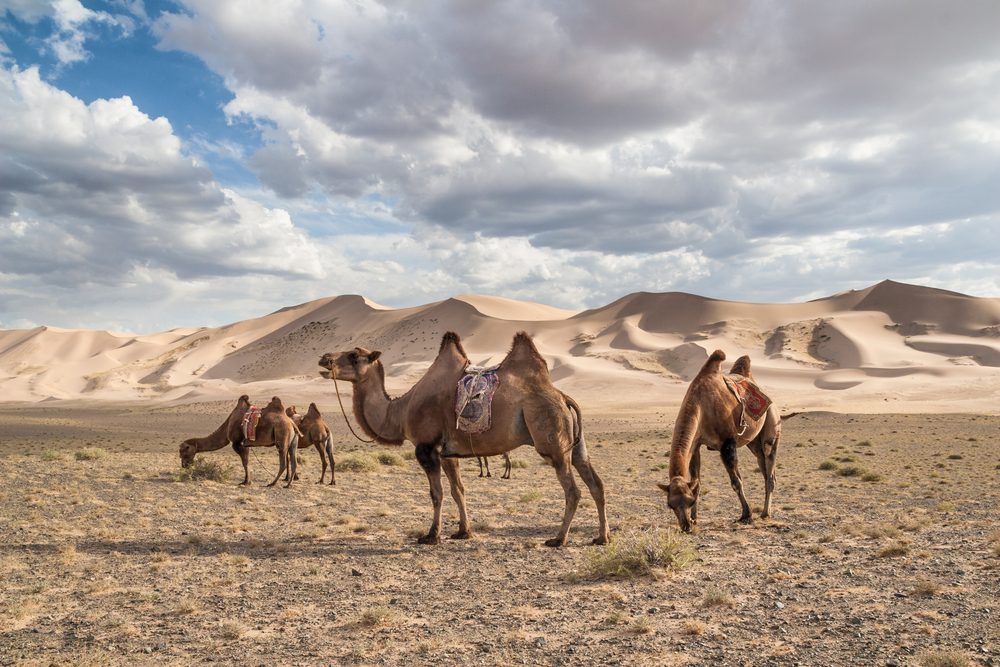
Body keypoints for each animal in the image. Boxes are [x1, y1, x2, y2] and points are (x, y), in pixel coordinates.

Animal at [318, 330, 608, 548]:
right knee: (596, 484)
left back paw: (558, 539)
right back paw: (601, 537)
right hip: (576, 445)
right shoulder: (448, 452)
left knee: (573, 490)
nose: (324, 358)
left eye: (354, 356)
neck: (400, 411)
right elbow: (458, 490)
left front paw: (431, 535)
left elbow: (436, 494)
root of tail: (563, 397)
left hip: (552, 440)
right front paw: (462, 531)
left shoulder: (426, 448)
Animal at [656, 352, 780, 536]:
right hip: (753, 443)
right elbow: (697, 482)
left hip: (771, 425)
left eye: (689, 501)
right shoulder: (696, 445)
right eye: (670, 505)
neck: (701, 407)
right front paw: (695, 519)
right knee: (764, 467)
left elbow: (736, 482)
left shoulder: (727, 443)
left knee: (769, 465)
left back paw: (765, 513)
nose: (685, 526)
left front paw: (746, 515)